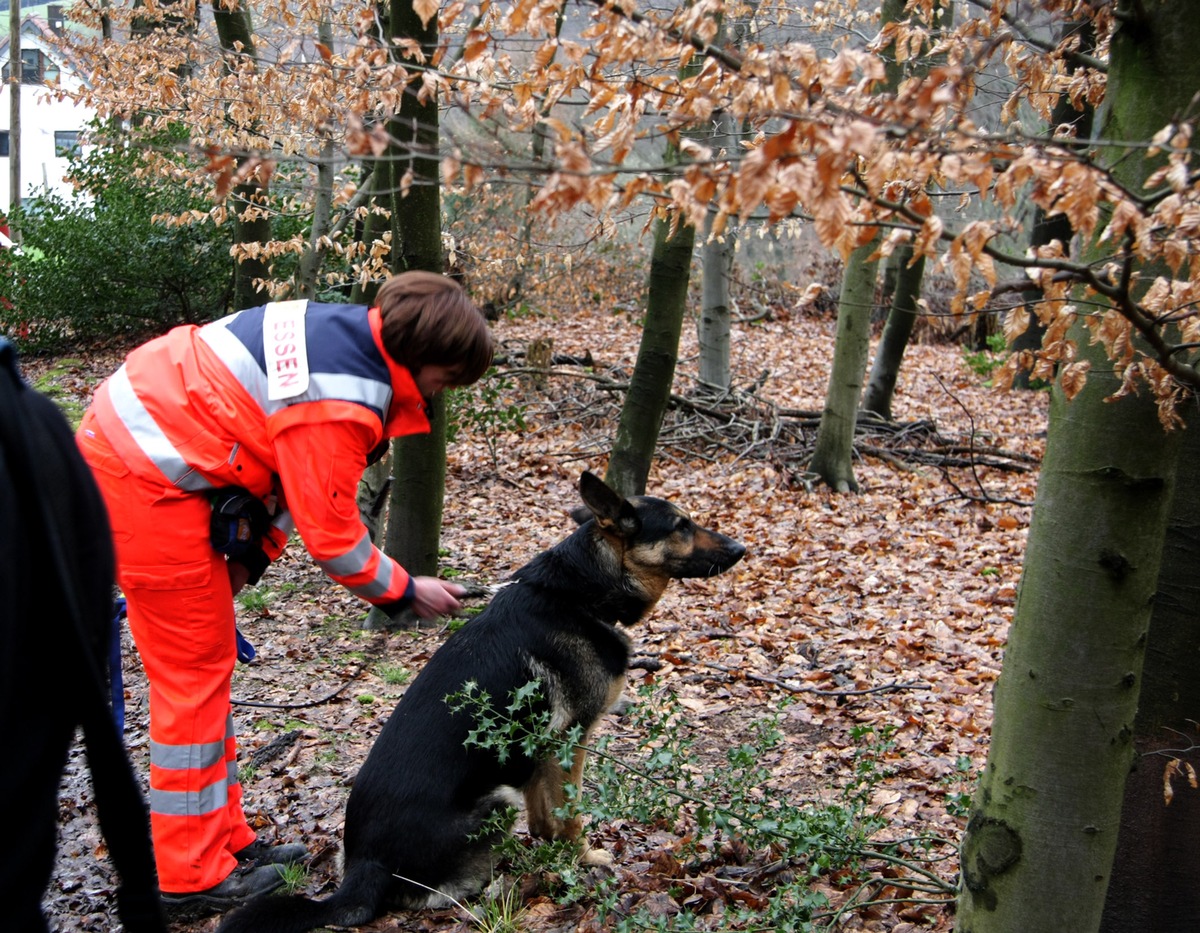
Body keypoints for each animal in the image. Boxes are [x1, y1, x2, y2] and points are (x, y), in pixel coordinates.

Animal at [213, 472, 739, 930]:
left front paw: (551, 854)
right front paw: (584, 857)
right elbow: (569, 816)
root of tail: (365, 870)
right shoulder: (570, 740)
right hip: (496, 801)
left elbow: (545, 817)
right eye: (681, 525)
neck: (579, 594)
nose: (741, 549)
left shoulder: (538, 754)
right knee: (431, 897)